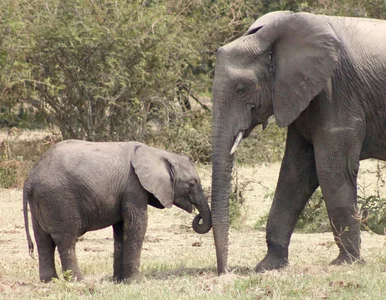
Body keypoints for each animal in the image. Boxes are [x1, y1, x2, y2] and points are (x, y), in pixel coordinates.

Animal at [23, 139, 211, 282]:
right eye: (192, 183)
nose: (198, 217)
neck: (157, 153)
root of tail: (30, 178)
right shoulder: (134, 186)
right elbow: (137, 224)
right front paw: (137, 281)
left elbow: (121, 230)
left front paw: (119, 280)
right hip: (59, 199)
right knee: (66, 240)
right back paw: (79, 281)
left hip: (42, 201)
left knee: (43, 241)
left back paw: (49, 281)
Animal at [211, 11, 386, 274]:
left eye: (241, 89)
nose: (225, 272)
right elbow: (295, 173)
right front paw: (268, 266)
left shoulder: (336, 90)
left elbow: (331, 169)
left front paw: (346, 263)